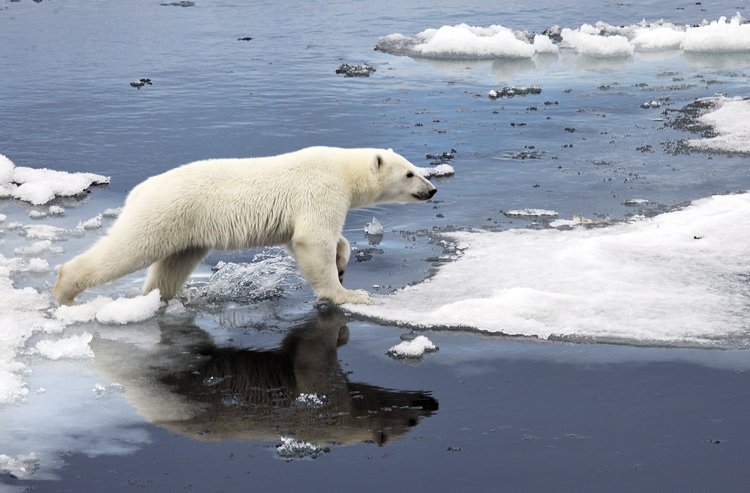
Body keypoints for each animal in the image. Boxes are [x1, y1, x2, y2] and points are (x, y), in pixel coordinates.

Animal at [53, 147, 438, 304]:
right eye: (410, 173)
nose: (432, 189)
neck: (343, 170)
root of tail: (139, 190)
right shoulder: (320, 190)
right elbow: (313, 240)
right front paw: (349, 293)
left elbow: (306, 240)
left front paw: (343, 262)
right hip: (164, 214)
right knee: (128, 248)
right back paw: (65, 291)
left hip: (188, 229)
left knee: (172, 266)